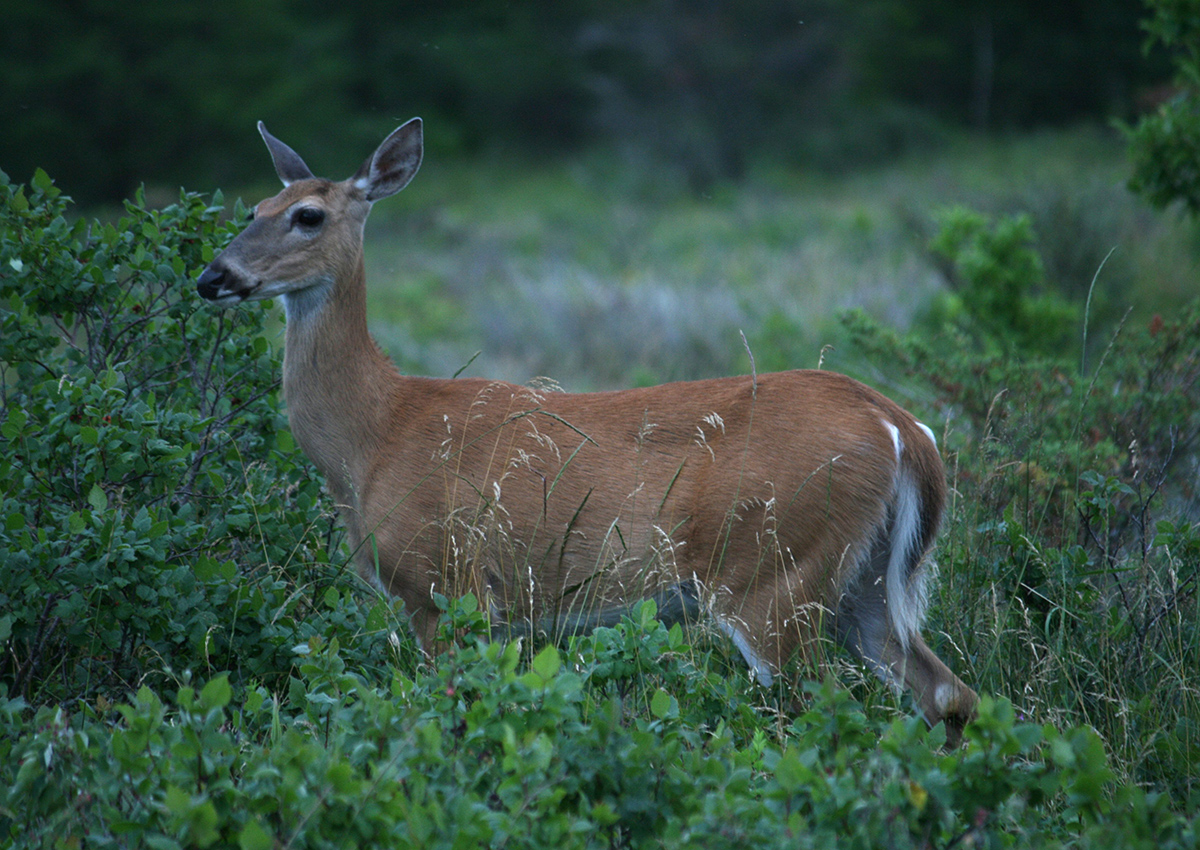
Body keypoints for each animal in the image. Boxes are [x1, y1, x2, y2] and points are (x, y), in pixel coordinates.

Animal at [196, 121, 979, 744]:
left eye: (307, 215)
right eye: (252, 208)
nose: (213, 276)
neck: (375, 435)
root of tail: (902, 428)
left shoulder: (448, 585)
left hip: (771, 569)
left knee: (825, 707)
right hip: (862, 579)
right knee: (948, 691)